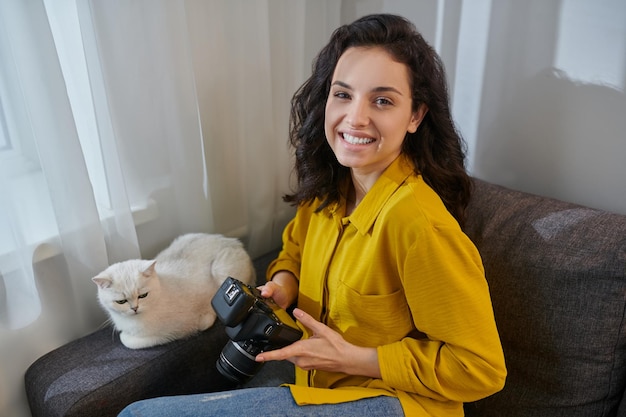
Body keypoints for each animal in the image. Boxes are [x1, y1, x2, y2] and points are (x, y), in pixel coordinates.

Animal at [91, 234, 256, 348]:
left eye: (143, 295)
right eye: (121, 301)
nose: (135, 308)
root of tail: (235, 242)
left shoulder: (173, 331)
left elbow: (127, 340)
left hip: (221, 271)